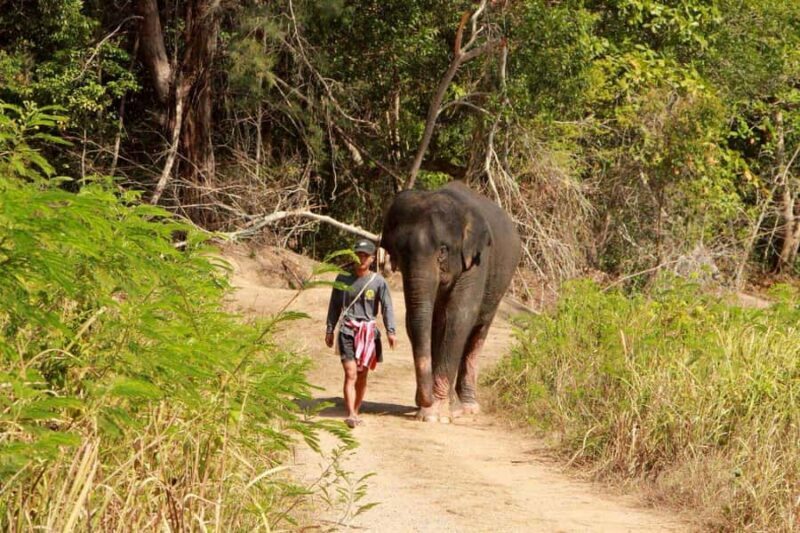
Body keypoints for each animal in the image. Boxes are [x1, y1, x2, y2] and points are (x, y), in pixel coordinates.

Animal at [380, 181, 521, 422]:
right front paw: (427, 410)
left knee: (477, 332)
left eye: (443, 251)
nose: (423, 400)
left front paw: (435, 415)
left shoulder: (477, 261)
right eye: (399, 251)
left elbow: (458, 318)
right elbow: (416, 318)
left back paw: (468, 407)